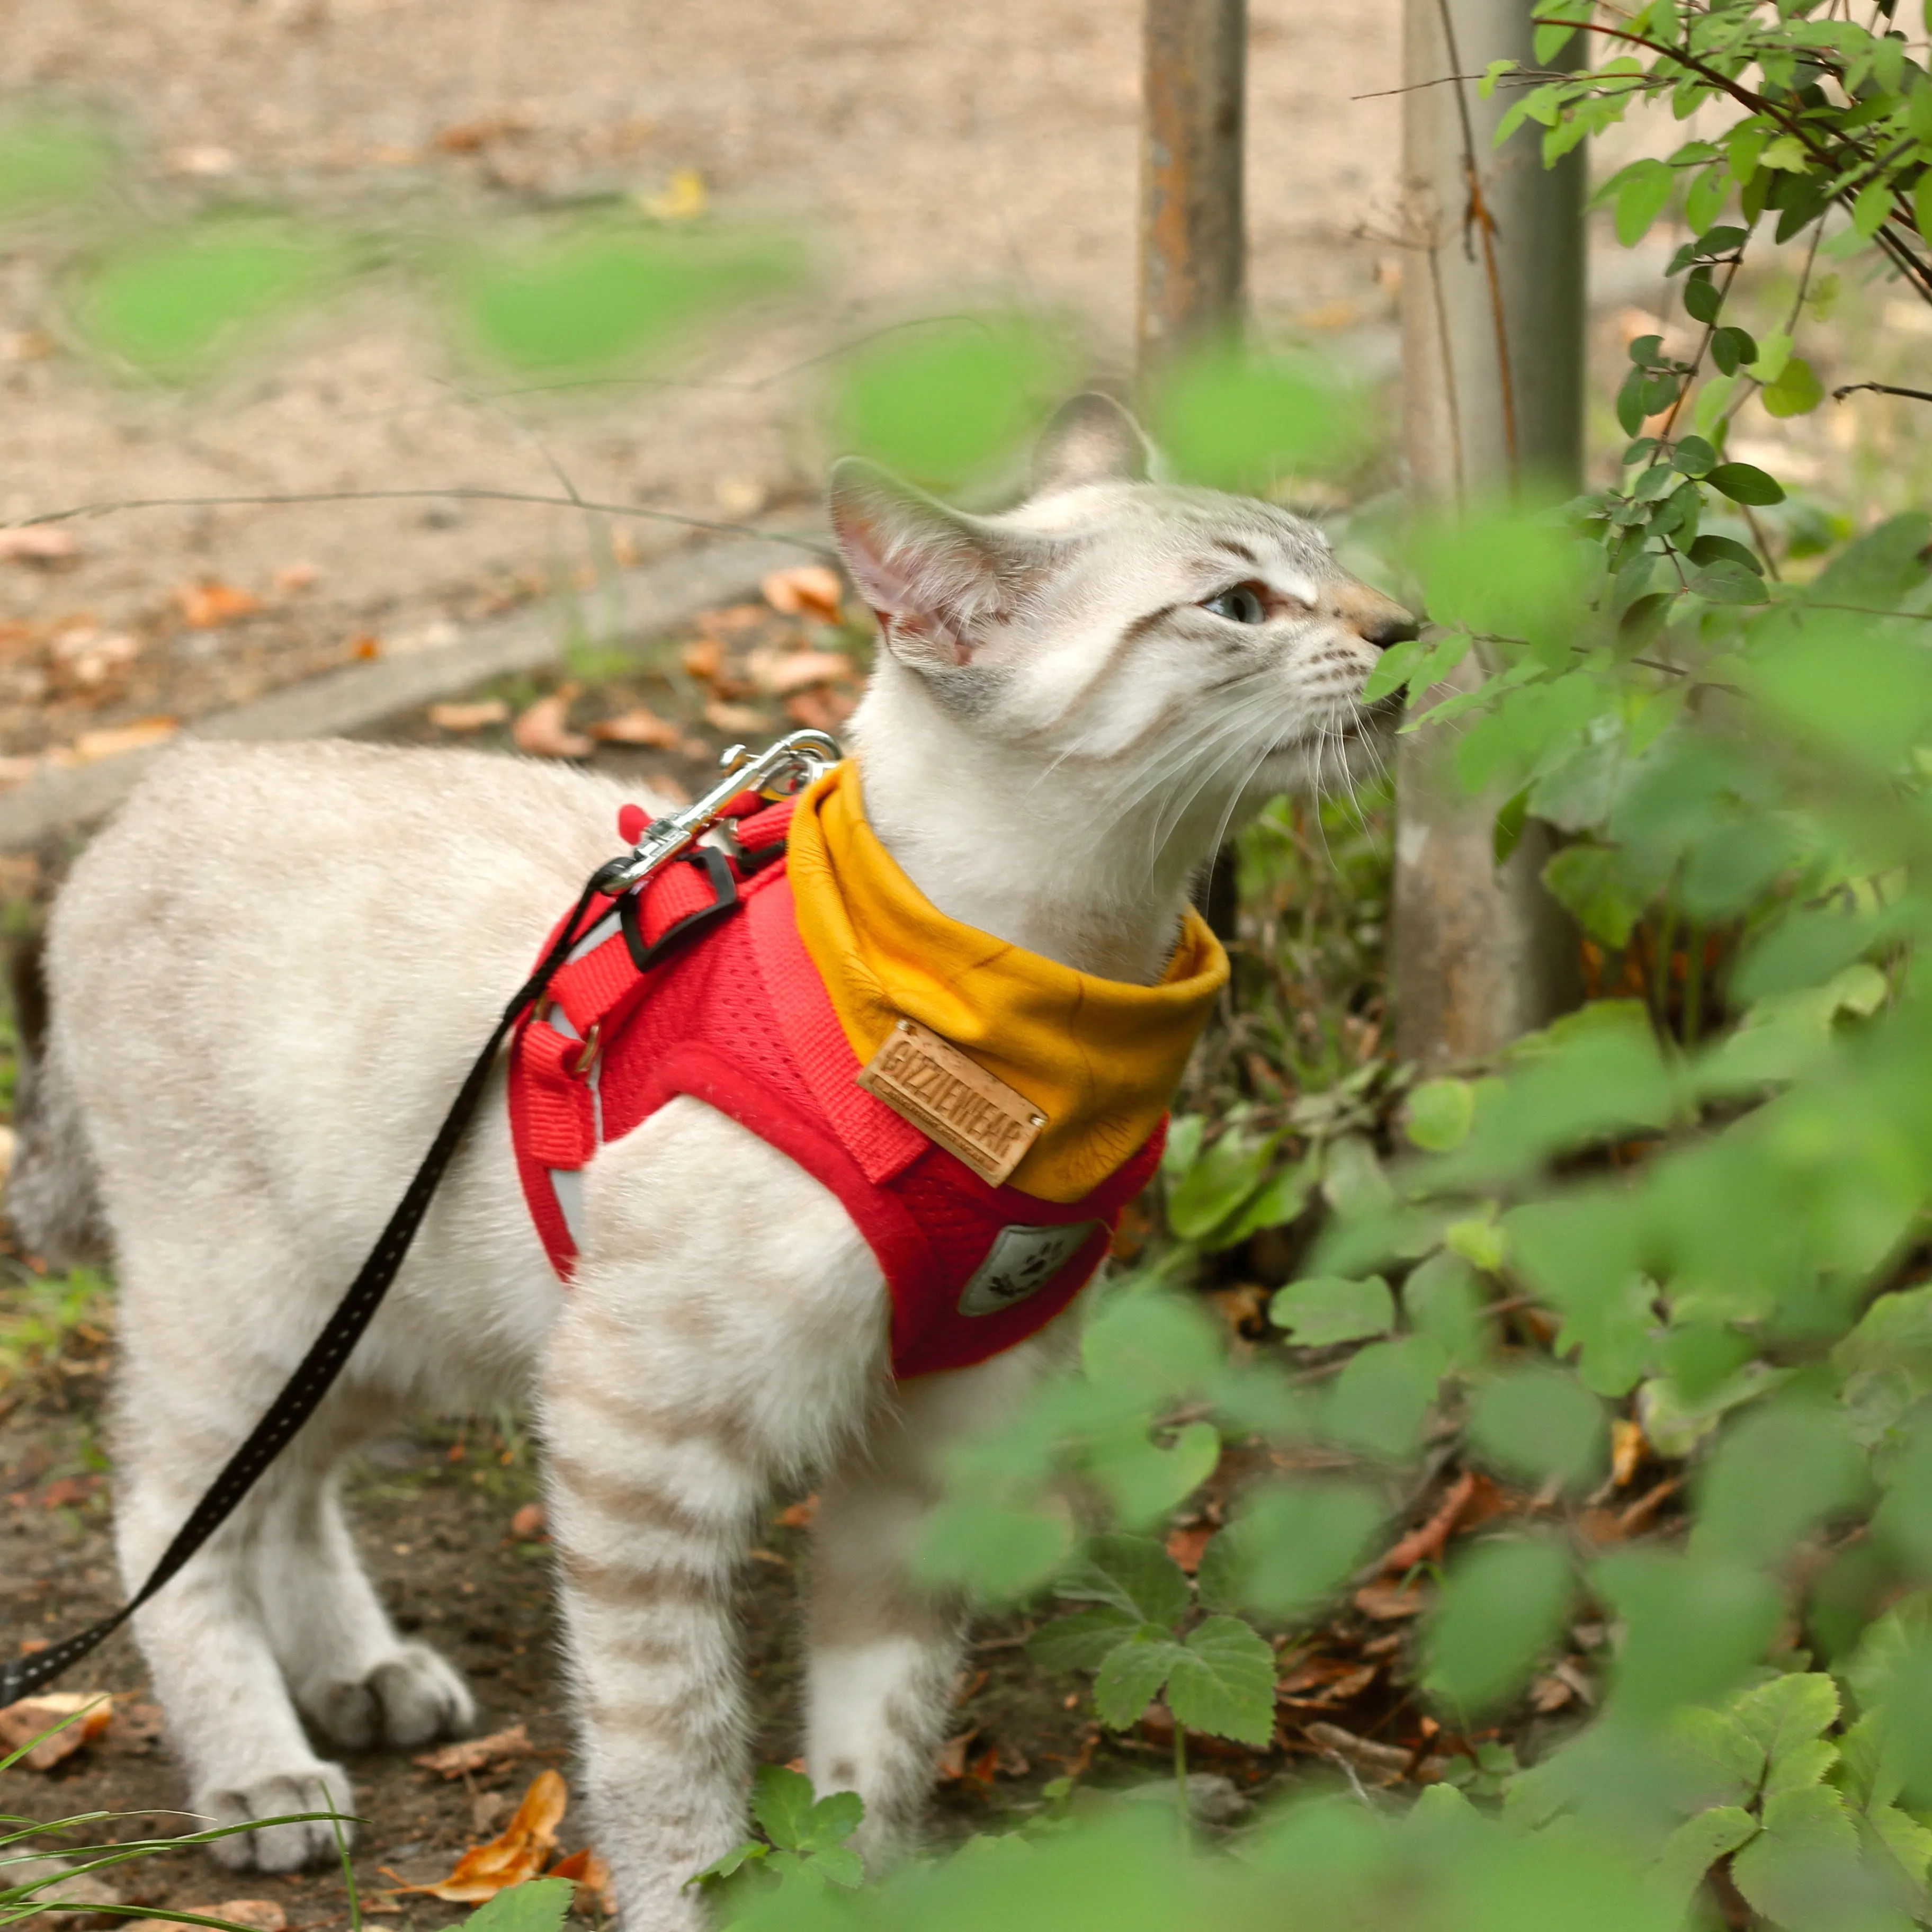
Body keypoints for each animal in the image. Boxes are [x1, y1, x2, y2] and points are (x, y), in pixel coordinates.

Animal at [7, 396, 1414, 1932]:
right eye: (1239, 606)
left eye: (1333, 561)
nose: (1406, 625)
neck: (1051, 1014)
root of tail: (164, 779)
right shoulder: (641, 1451)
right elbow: (673, 1768)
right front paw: (693, 1894)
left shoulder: (937, 1455)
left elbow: (873, 1754)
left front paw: (859, 1891)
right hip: (257, 1316)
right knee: (167, 1514)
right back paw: (264, 1777)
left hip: (383, 1322)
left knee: (282, 1495)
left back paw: (362, 1678)